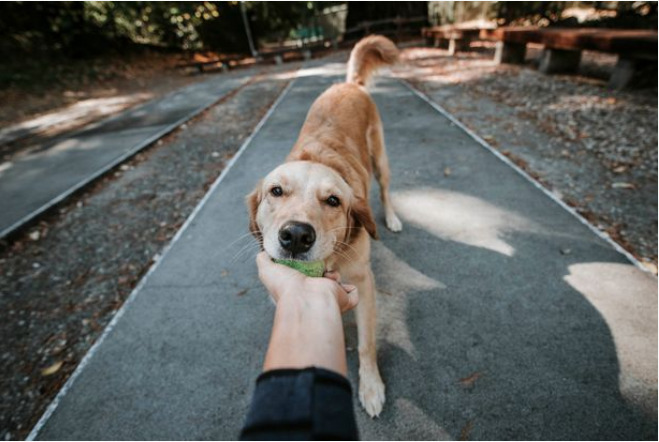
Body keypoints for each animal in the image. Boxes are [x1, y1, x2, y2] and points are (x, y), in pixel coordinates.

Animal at [248, 35, 402, 418]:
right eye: (276, 191)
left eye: (333, 201)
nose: (296, 236)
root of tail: (349, 84)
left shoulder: (365, 284)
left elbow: (366, 345)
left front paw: (371, 387)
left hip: (381, 159)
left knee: (386, 190)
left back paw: (392, 218)